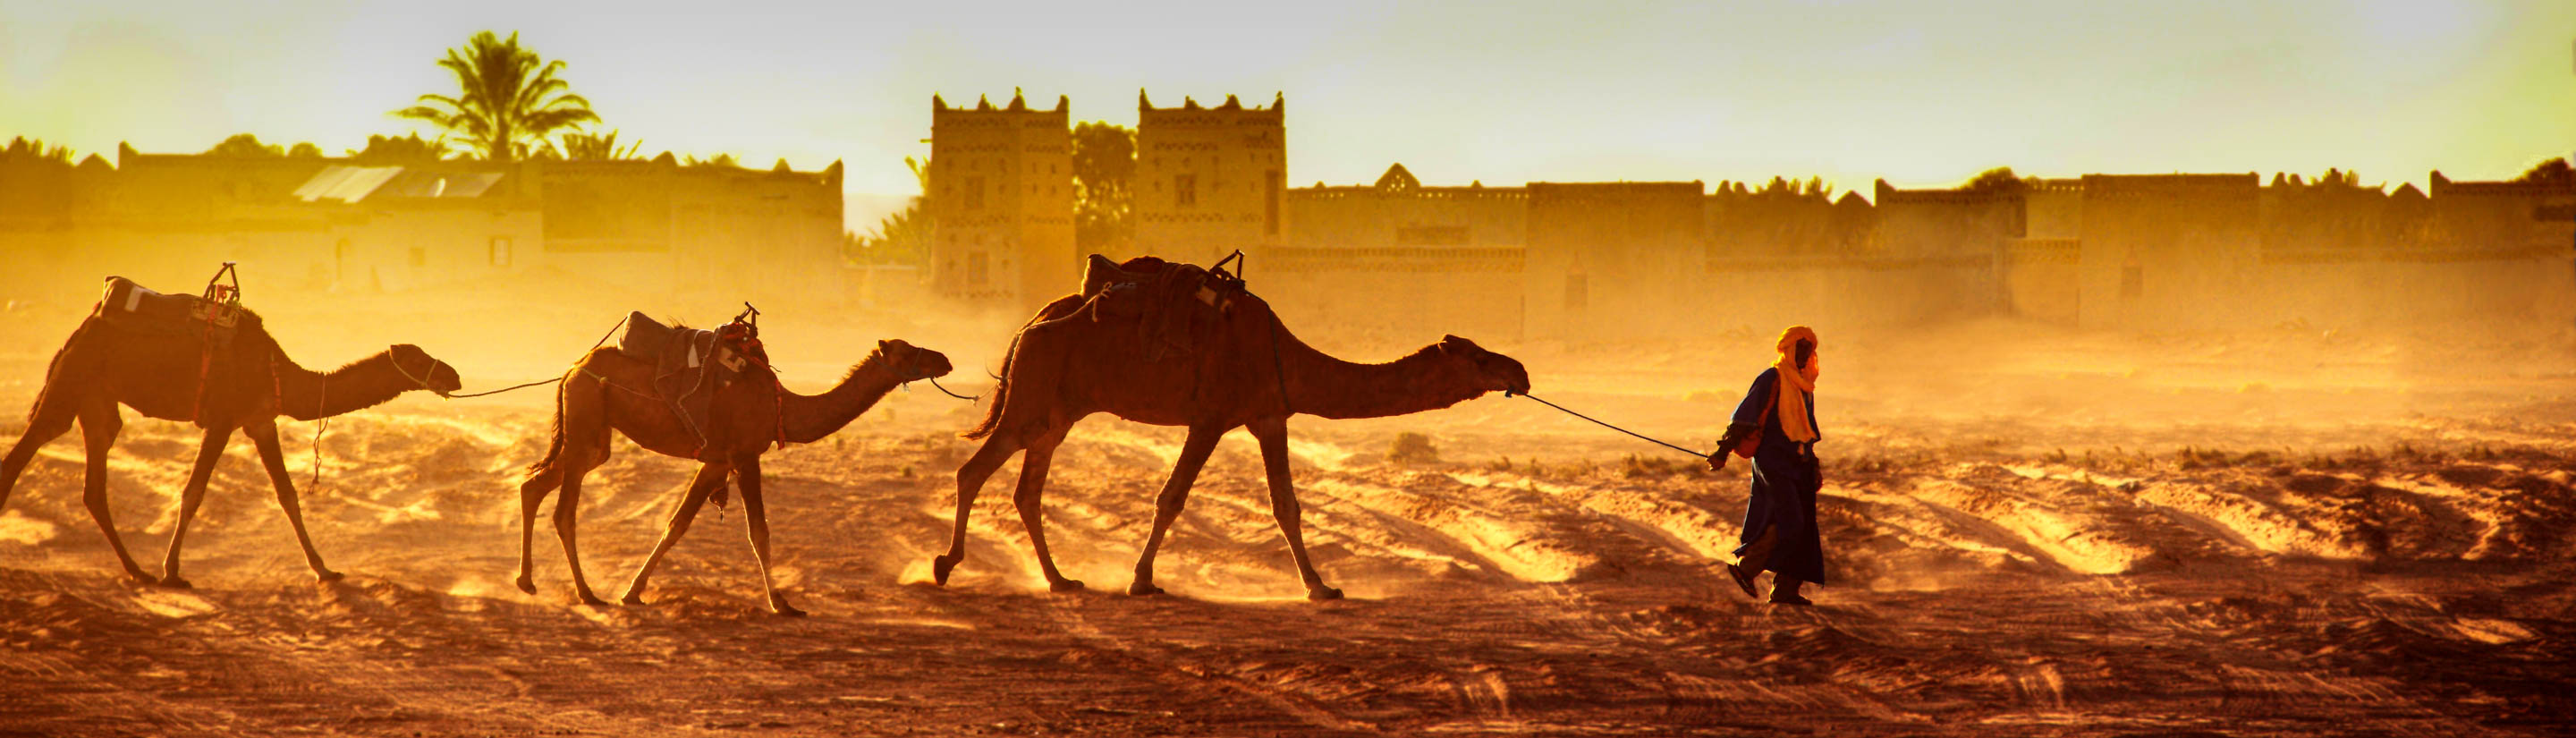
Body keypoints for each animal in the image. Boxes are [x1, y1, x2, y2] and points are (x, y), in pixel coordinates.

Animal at [0, 296, 469, 585]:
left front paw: (324, 570)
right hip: (72, 381)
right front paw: (173, 572)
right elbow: (193, 493)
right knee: (26, 452)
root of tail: (76, 334)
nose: (454, 374)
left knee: (94, 484)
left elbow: (288, 495)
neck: (280, 374)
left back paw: (137, 571)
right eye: (418, 359)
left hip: (97, 400)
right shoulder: (223, 419)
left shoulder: (260, 421)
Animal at [520, 337, 958, 614]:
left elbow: (677, 524)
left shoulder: (716, 461)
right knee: (564, 511)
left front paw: (633, 592)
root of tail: (573, 369)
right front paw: (782, 604)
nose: (945, 360)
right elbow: (758, 531)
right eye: (907, 351)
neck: (784, 407)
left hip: (593, 437)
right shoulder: (746, 456)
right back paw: (586, 593)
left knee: (533, 485)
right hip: (584, 422)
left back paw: (528, 582)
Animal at [932, 258, 1514, 598]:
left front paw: (1321, 586)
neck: (1285, 356)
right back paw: (945, 565)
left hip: (1058, 410)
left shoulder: (1269, 415)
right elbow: (1171, 498)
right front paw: (1142, 581)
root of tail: (1030, 323)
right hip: (1033, 394)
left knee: (1026, 490)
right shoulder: (1211, 417)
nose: (1519, 371)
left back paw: (1060, 580)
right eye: (1478, 358)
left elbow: (1286, 504)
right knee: (973, 472)